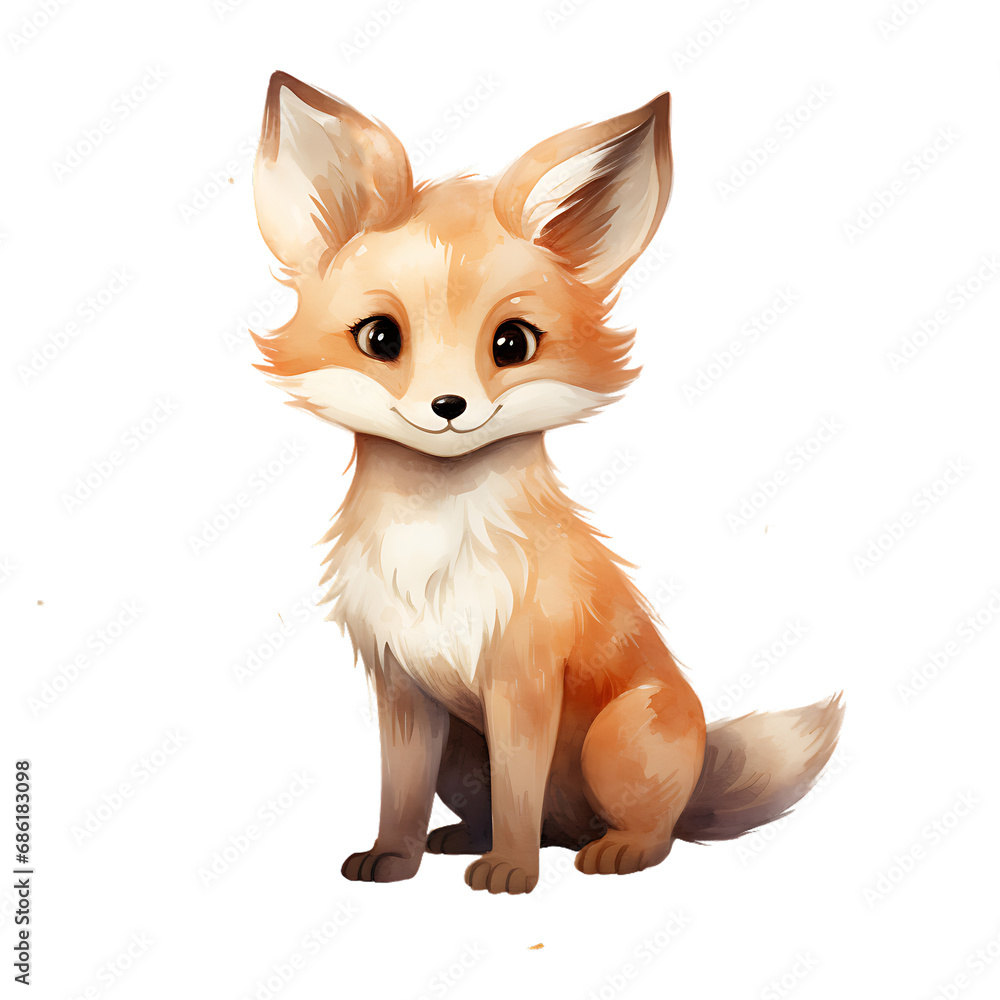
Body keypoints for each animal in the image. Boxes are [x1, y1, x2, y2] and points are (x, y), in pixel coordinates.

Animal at [251, 71, 844, 895]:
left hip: (617, 737)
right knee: (512, 811)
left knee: (649, 831)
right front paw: (393, 858)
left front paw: (512, 872)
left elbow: (519, 789)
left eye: (511, 343)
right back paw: (462, 840)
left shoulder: (523, 675)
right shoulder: (404, 685)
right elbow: (399, 792)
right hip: (463, 753)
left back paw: (613, 851)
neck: (431, 547)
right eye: (380, 337)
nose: (448, 407)